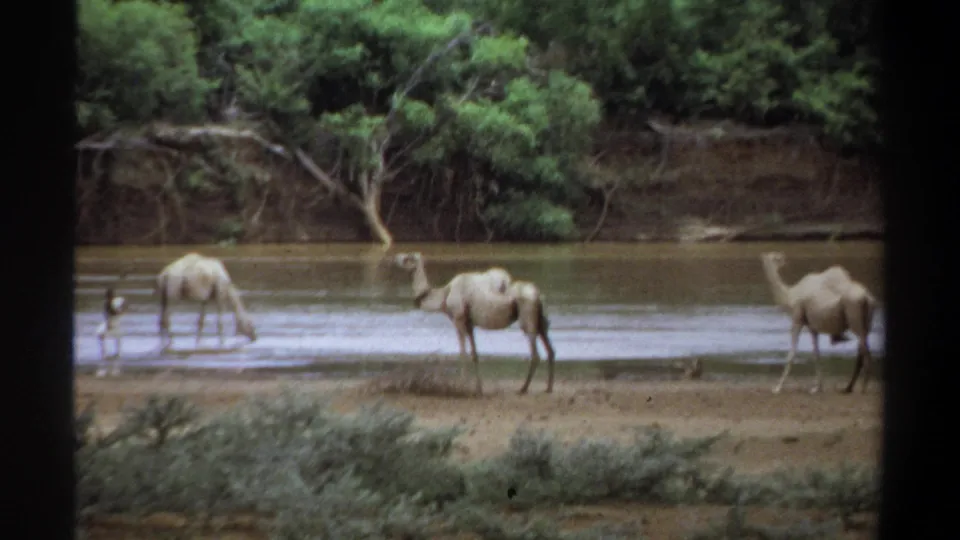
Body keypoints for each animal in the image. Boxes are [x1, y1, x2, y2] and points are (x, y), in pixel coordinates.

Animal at [394, 252, 556, 396]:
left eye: (408, 258)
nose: (397, 257)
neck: (444, 295)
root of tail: (537, 295)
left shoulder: (458, 319)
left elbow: (462, 353)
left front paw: (461, 386)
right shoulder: (469, 323)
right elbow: (475, 354)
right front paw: (478, 388)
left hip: (527, 317)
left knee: (535, 353)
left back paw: (523, 388)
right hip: (539, 321)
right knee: (550, 349)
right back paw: (548, 388)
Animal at [759, 251, 878, 395]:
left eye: (777, 257)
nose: (784, 259)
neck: (790, 295)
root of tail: (866, 297)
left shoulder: (797, 319)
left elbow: (791, 354)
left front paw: (777, 388)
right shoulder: (812, 327)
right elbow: (816, 354)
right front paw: (817, 387)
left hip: (855, 317)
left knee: (865, 352)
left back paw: (862, 388)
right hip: (866, 322)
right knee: (862, 350)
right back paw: (848, 388)